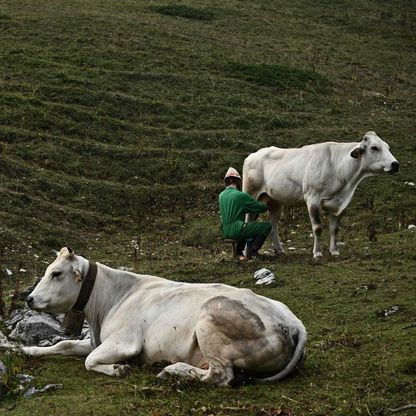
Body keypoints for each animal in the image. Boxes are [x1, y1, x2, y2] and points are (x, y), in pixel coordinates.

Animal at [23, 247, 308, 386]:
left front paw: (118, 368)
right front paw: (27, 350)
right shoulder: (99, 340)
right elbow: (64, 344)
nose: (29, 298)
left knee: (220, 376)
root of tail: (294, 324)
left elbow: (89, 360)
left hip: (210, 322)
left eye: (56, 273)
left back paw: (171, 369)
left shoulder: (124, 341)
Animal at [244, 132, 400, 258]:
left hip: (275, 201)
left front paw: (334, 251)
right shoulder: (313, 199)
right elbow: (318, 228)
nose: (395, 164)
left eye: (387, 147)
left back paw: (279, 250)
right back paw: (246, 252)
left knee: (273, 224)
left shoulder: (340, 204)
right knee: (248, 220)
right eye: (374, 147)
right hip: (250, 194)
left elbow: (334, 229)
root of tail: (254, 154)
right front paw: (317, 253)